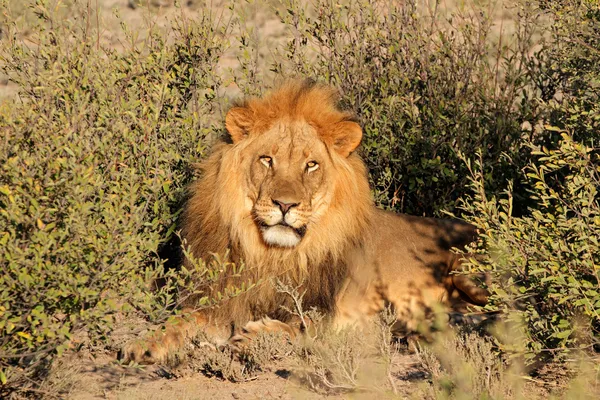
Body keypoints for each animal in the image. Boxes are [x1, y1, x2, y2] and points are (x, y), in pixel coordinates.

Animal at [122, 79, 488, 364]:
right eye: (267, 160)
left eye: (311, 165)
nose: (285, 204)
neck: (271, 256)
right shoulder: (221, 303)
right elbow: (181, 322)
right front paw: (143, 345)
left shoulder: (328, 316)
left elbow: (296, 327)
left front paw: (252, 338)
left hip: (469, 270)